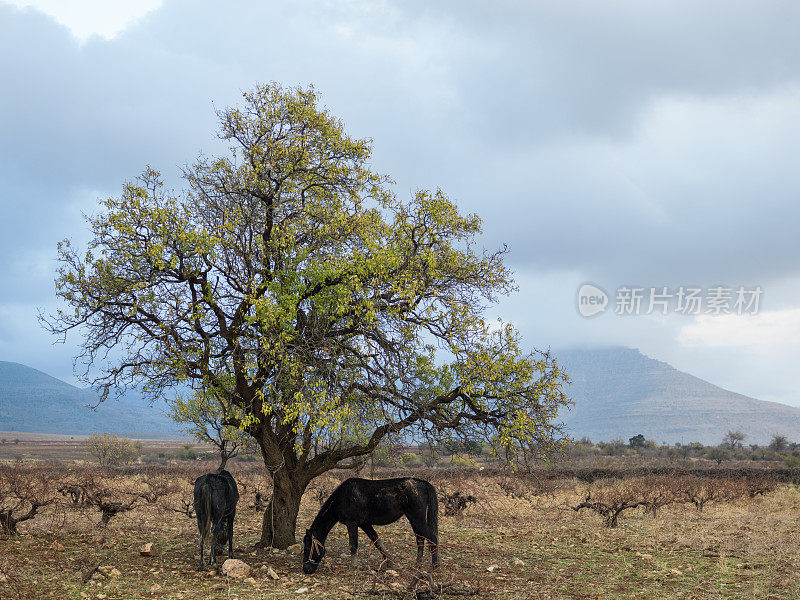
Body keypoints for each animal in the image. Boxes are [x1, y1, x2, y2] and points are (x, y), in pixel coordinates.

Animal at [302, 476, 438, 576]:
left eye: (308, 548)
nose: (306, 569)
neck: (342, 497)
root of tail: (423, 483)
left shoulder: (352, 523)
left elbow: (353, 545)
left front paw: (354, 566)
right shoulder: (365, 524)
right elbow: (377, 542)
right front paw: (390, 563)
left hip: (416, 518)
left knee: (431, 537)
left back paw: (434, 566)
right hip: (413, 519)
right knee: (420, 539)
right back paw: (417, 566)